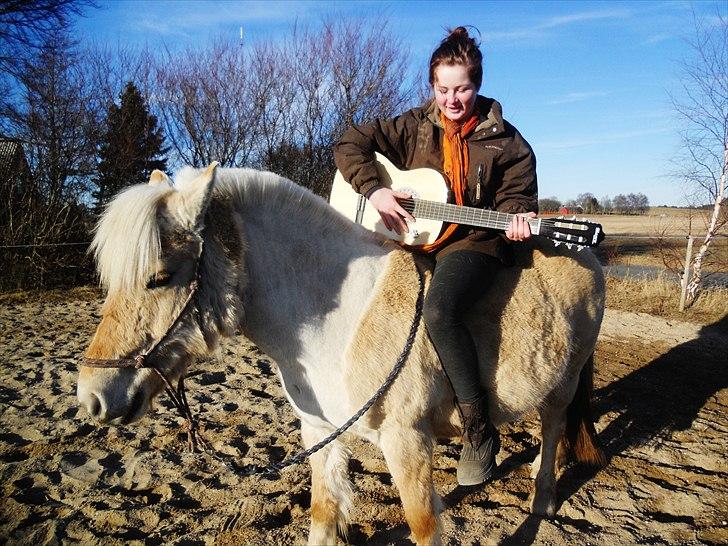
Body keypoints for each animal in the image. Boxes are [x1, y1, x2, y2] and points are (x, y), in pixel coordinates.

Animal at [77, 164, 604, 540]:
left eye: (160, 277)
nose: (92, 396)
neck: (338, 321)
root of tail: (585, 250)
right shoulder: (319, 432)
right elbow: (323, 518)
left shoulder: (407, 442)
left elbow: (423, 527)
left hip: (565, 381)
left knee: (555, 425)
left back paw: (542, 496)